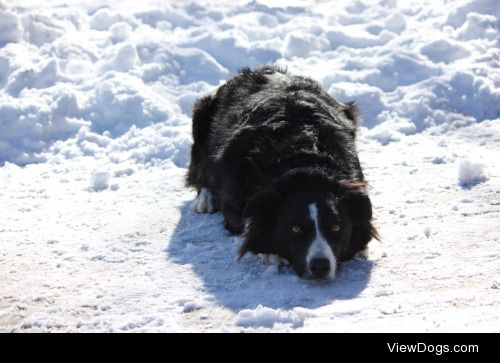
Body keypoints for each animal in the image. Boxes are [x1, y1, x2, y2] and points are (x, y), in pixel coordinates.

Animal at [188, 66, 378, 282]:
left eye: (337, 228)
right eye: (295, 229)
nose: (320, 266)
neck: (306, 164)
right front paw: (270, 252)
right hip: (201, 113)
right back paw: (205, 199)